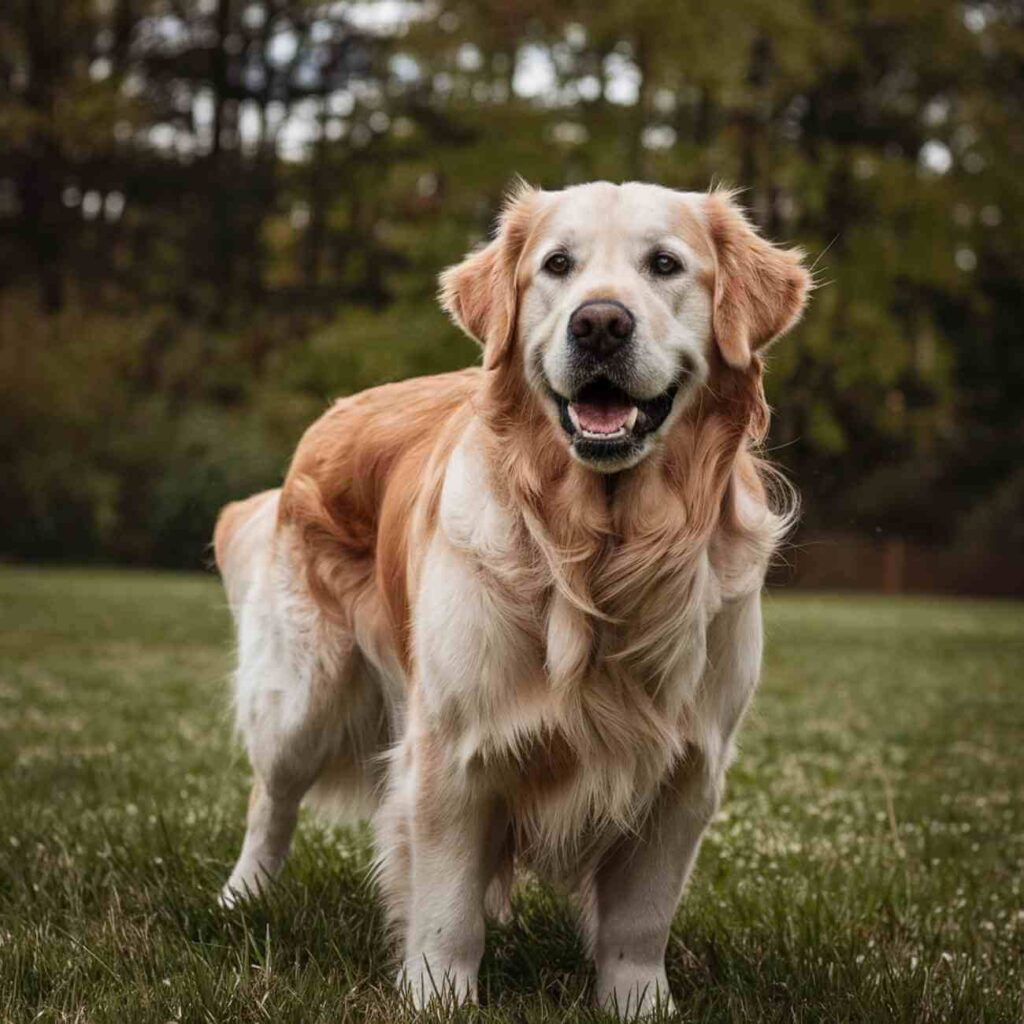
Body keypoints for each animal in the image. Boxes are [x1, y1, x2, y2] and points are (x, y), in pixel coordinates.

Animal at [214, 180, 806, 1011]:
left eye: (665, 265)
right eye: (557, 265)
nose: (599, 323)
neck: (598, 552)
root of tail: (332, 412)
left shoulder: (687, 769)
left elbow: (639, 922)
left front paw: (638, 1005)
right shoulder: (453, 752)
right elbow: (446, 909)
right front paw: (438, 999)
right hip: (304, 692)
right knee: (271, 800)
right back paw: (243, 900)